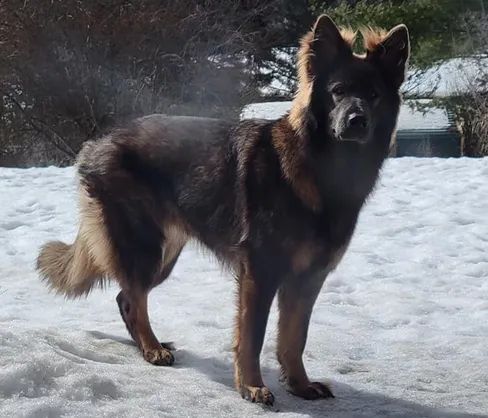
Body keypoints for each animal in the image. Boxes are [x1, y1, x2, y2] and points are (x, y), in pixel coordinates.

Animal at [37, 14, 408, 406]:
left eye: (373, 95)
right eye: (338, 90)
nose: (357, 120)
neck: (324, 167)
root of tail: (98, 142)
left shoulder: (309, 279)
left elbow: (295, 337)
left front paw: (299, 385)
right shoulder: (259, 273)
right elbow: (252, 336)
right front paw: (252, 386)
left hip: (165, 254)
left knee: (126, 298)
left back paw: (149, 345)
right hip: (145, 248)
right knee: (132, 299)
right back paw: (153, 350)